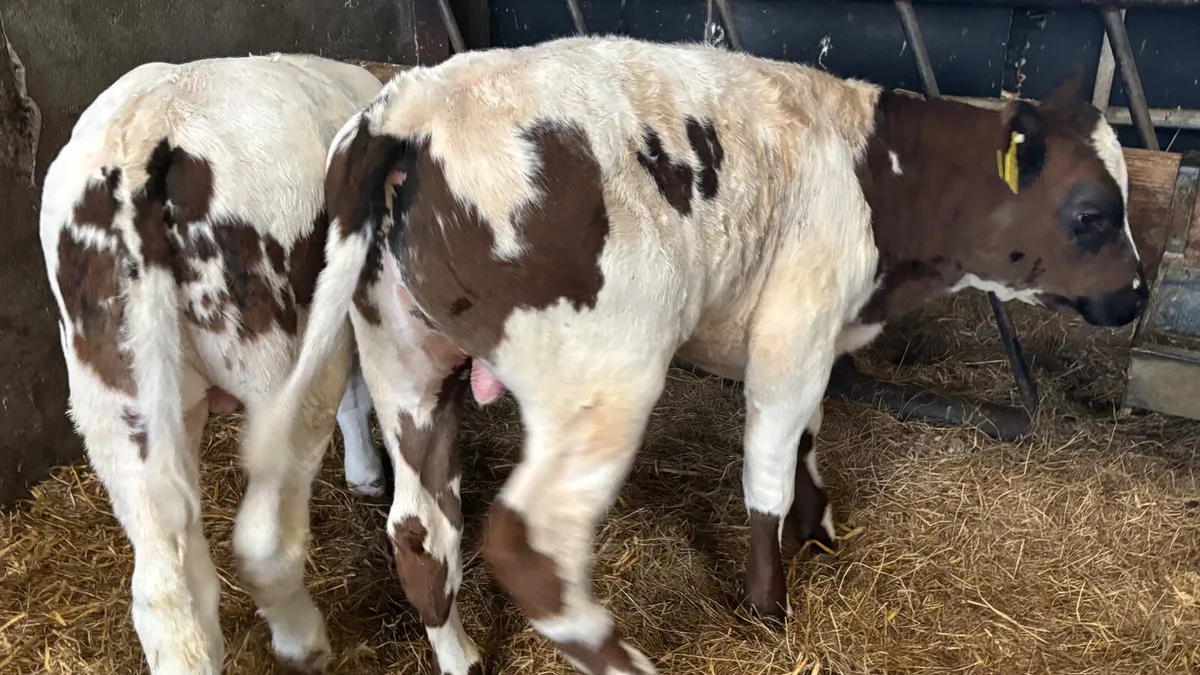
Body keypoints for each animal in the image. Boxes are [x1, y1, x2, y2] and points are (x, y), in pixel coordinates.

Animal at [39, 54, 397, 674]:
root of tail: (145, 128)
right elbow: (358, 396)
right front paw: (367, 472)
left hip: (110, 401)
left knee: (165, 585)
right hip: (278, 368)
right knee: (263, 543)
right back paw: (304, 642)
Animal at [258, 35, 1147, 675]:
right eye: (1093, 212)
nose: (1138, 295)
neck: (874, 172)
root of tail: (409, 105)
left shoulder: (814, 336)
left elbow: (810, 436)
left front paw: (821, 523)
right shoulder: (793, 328)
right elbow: (767, 472)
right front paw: (770, 600)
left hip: (405, 360)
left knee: (418, 533)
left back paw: (462, 657)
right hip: (605, 380)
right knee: (526, 546)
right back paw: (629, 661)